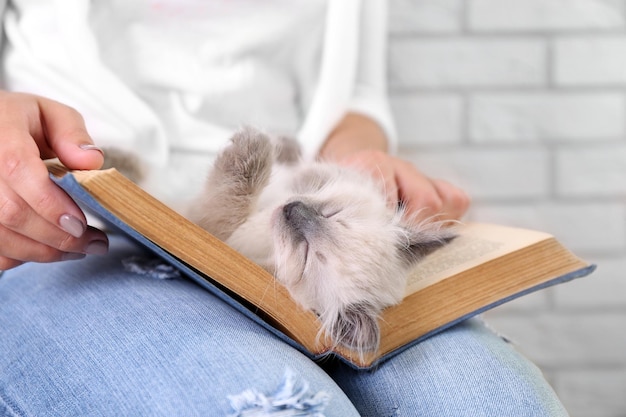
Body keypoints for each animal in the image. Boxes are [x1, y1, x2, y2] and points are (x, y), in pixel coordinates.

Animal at [186, 127, 454, 354]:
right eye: (332, 213)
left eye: (307, 255)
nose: (292, 210)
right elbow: (303, 167)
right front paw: (281, 143)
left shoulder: (222, 233)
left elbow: (231, 201)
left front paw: (253, 141)